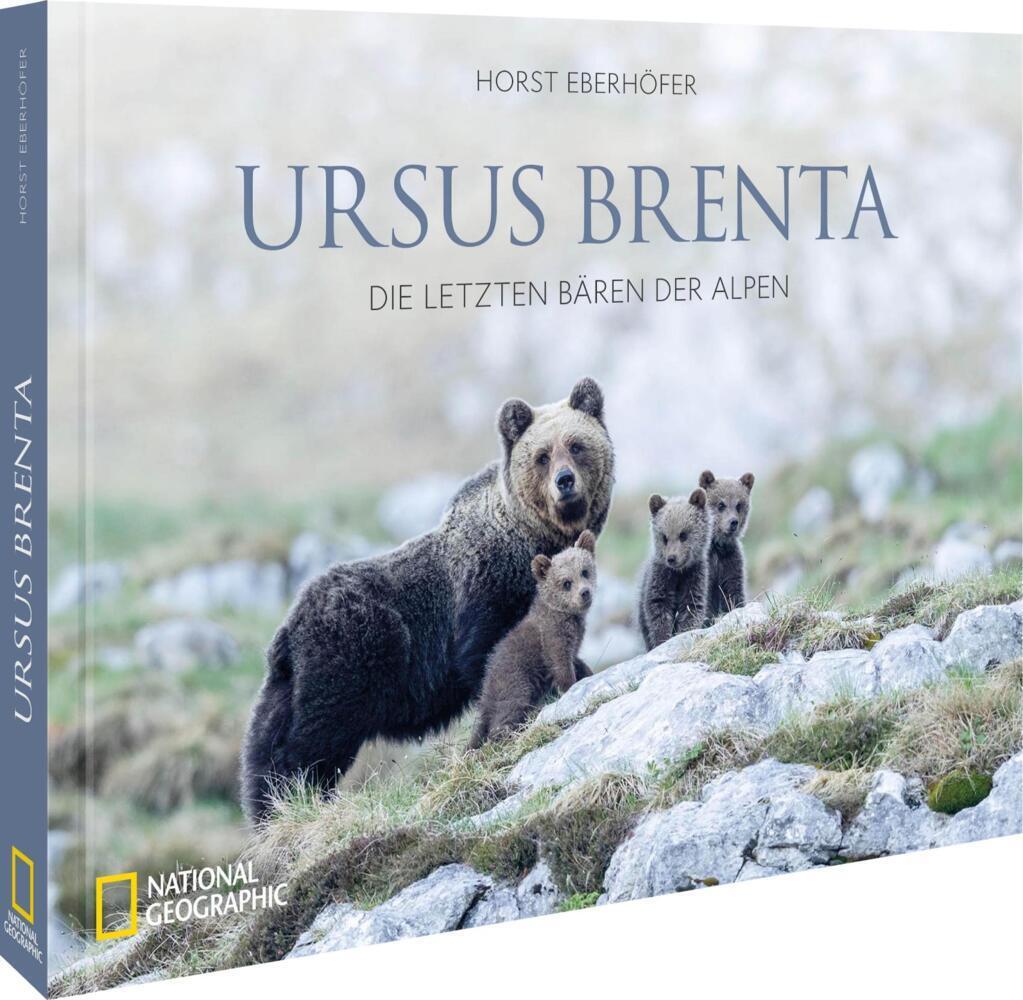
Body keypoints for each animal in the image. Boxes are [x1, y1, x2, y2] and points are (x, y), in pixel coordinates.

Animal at [468, 530, 597, 748]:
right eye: (566, 582)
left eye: (584, 571)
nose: (584, 593)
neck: (566, 616)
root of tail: (485, 693)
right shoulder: (553, 637)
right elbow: (560, 665)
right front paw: (569, 687)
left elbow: (576, 661)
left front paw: (587, 672)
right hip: (515, 681)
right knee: (506, 714)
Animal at [637, 489, 711, 649]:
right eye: (664, 537)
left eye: (683, 535)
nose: (672, 558)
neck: (679, 573)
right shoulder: (661, 578)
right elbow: (658, 611)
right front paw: (662, 639)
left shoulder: (694, 577)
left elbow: (691, 609)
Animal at [699, 470, 755, 620]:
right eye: (721, 504)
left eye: (739, 505)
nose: (733, 522)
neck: (718, 545)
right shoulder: (708, 568)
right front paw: (707, 618)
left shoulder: (731, 561)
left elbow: (734, 591)